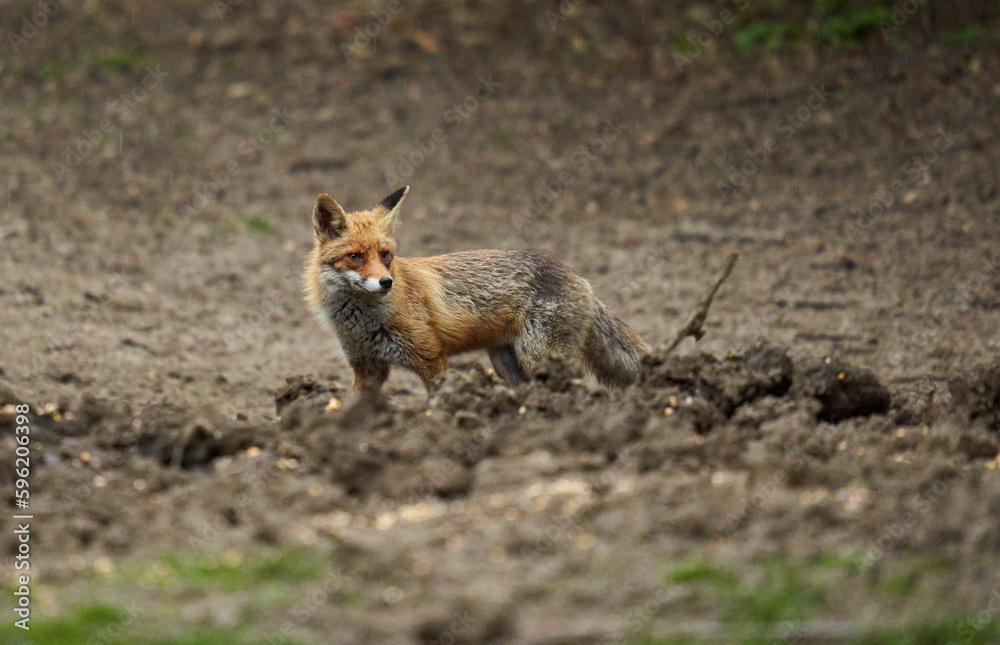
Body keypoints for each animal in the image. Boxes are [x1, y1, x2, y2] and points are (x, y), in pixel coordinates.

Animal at [302, 186, 649, 395]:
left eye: (385, 255)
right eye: (355, 257)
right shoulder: (366, 367)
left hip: (538, 358)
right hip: (507, 363)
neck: (363, 322)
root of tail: (579, 278)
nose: (386, 282)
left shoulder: (431, 359)